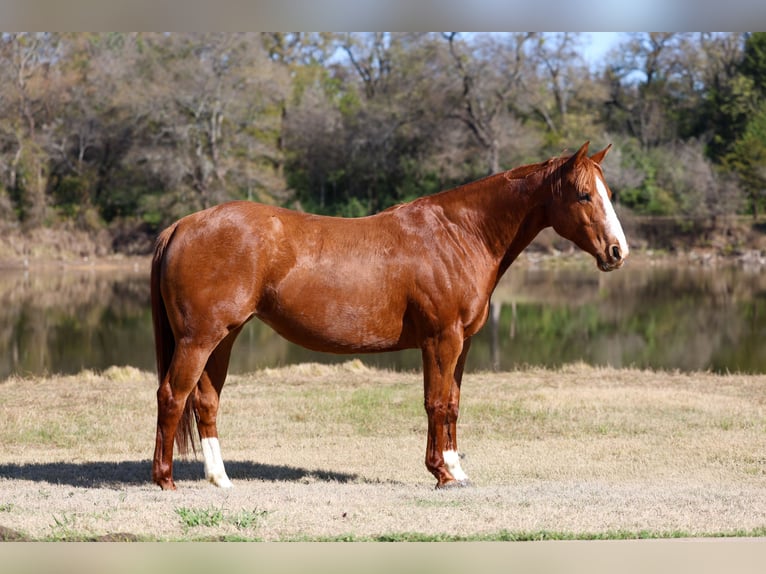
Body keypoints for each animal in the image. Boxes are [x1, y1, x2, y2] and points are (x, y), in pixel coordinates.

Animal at [150, 141, 628, 490]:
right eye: (584, 194)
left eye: (608, 194)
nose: (617, 252)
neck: (459, 234)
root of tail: (182, 225)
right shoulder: (441, 340)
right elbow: (436, 403)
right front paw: (441, 473)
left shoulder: (462, 343)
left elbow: (453, 404)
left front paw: (457, 470)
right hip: (198, 339)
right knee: (172, 395)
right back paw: (165, 480)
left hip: (223, 337)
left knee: (205, 401)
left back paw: (220, 479)